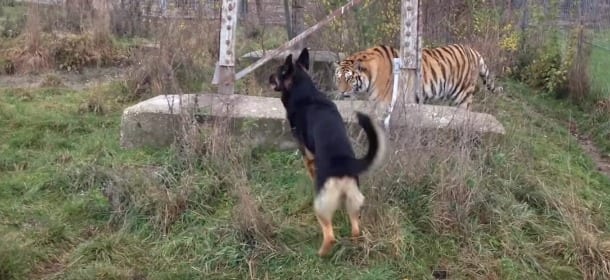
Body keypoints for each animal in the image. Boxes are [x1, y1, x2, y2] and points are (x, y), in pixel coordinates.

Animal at [270, 47, 388, 256]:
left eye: (278, 72)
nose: (268, 77)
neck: (305, 92)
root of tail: (345, 162)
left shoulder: (307, 155)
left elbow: (309, 170)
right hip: (353, 200)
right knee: (355, 229)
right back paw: (353, 244)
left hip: (322, 205)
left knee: (330, 235)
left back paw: (321, 253)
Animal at [334, 43, 502, 109]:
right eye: (338, 78)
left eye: (349, 78)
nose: (341, 92)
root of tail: (472, 50)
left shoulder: (385, 102)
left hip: (463, 96)